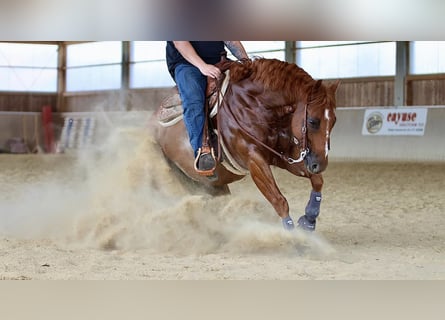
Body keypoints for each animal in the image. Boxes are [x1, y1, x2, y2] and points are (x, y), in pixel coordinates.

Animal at [151, 57, 338, 231]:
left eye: (334, 121)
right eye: (313, 121)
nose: (320, 164)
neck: (255, 106)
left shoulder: (281, 156)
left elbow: (317, 181)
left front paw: (309, 220)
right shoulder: (254, 160)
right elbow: (279, 200)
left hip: (212, 185)